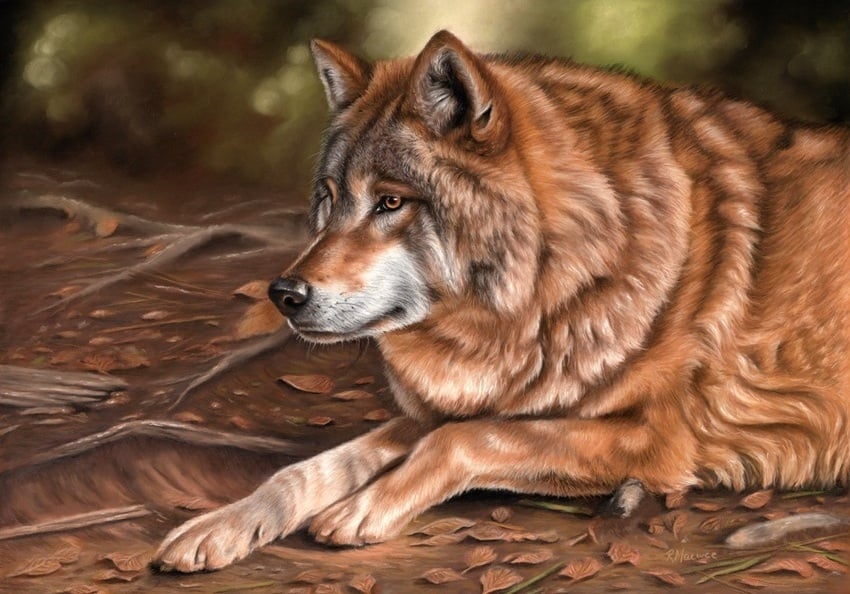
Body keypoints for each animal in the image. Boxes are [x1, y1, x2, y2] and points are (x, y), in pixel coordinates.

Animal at [155, 30, 850, 572]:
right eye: (329, 198)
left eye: (390, 201)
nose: (284, 294)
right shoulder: (444, 408)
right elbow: (308, 469)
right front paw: (217, 528)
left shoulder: (654, 439)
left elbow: (463, 441)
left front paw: (361, 509)